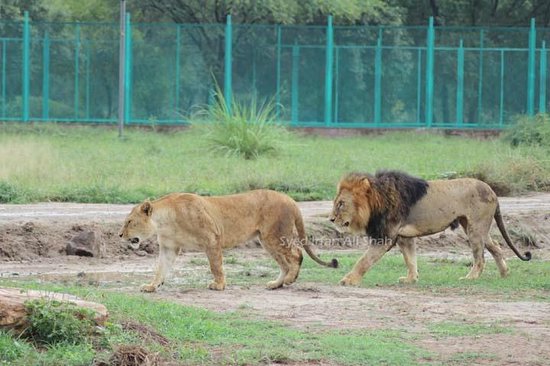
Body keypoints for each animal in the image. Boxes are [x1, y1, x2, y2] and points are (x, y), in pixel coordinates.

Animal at [118, 192, 338, 292]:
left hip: (274, 236)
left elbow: (216, 265)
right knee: (285, 262)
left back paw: (290, 280)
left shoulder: (212, 238)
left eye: (129, 222)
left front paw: (219, 284)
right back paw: (277, 284)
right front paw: (151, 286)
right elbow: (160, 269)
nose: (120, 235)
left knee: (296, 255)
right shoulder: (168, 248)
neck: (165, 221)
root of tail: (290, 199)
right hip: (266, 240)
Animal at [330, 170, 532, 284]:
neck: (377, 201)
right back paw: (505, 273)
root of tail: (492, 191)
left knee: (480, 257)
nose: (331, 219)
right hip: (474, 226)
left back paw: (470, 278)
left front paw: (349, 280)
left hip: (475, 229)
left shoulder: (386, 237)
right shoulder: (404, 237)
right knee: (496, 247)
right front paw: (411, 279)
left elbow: (364, 260)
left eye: (341, 204)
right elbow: (410, 259)